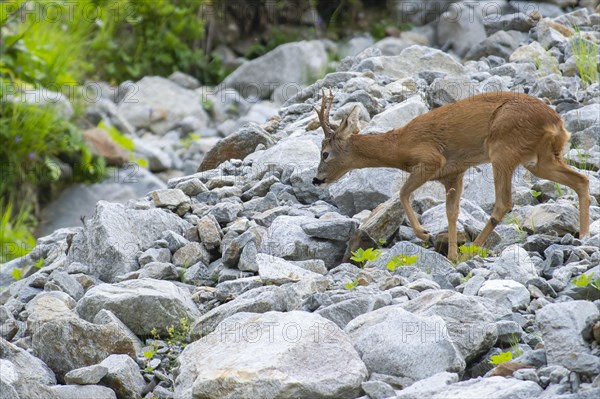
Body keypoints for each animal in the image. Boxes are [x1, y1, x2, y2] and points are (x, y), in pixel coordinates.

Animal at [314, 89, 592, 260]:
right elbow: (451, 212)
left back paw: (474, 248)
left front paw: (425, 234)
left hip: (502, 149)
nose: (316, 179)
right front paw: (450, 255)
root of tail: (556, 122)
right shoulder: (454, 173)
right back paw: (584, 235)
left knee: (504, 202)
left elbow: (402, 193)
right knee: (581, 179)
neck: (399, 145)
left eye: (325, 153)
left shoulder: (430, 159)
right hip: (540, 159)